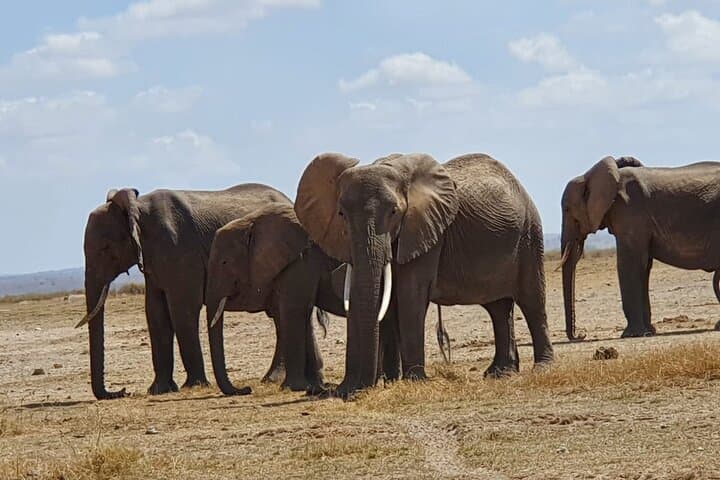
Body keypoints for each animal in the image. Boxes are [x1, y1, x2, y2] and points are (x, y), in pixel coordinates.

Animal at [76, 184, 289, 399]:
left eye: (105, 247)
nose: (122, 391)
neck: (137, 207)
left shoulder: (179, 250)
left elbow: (182, 309)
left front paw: (194, 386)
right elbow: (155, 313)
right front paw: (159, 390)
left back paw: (271, 379)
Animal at [204, 201, 345, 395]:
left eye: (225, 262)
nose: (246, 389)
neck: (251, 222)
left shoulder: (302, 259)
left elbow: (294, 309)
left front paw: (293, 387)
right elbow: (303, 311)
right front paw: (315, 386)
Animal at [294, 152, 554, 397]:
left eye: (394, 212)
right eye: (341, 214)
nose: (347, 390)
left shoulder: (426, 232)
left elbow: (411, 293)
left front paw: (414, 381)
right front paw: (370, 386)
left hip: (530, 236)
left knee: (531, 301)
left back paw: (541, 368)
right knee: (498, 308)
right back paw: (500, 373)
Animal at [561, 156, 720, 340]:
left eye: (567, 209)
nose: (581, 334)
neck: (590, 175)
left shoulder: (630, 213)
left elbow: (629, 264)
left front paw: (631, 334)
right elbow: (643, 267)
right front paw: (648, 332)